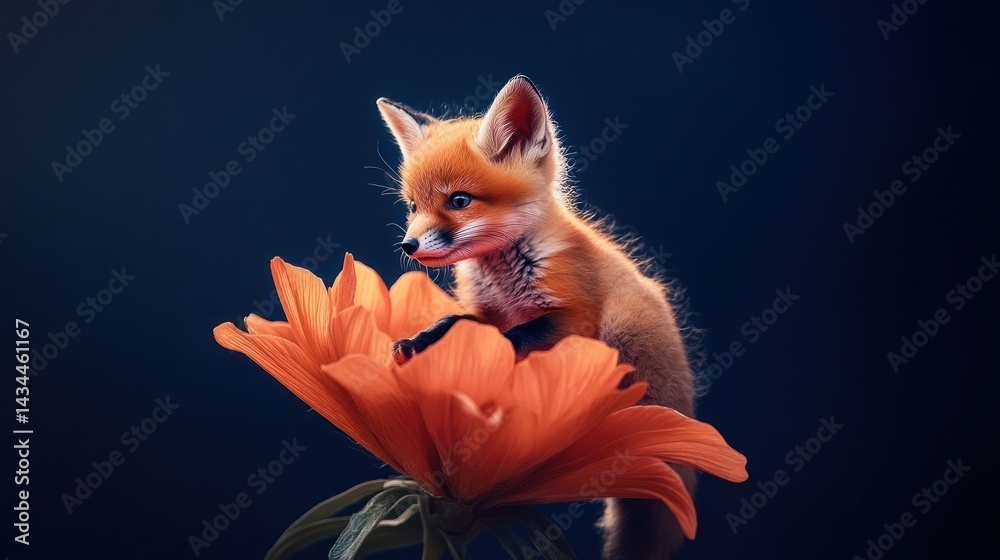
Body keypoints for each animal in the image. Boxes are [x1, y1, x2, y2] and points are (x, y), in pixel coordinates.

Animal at [376, 75, 697, 560]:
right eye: (413, 205)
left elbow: (515, 338)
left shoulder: (573, 317)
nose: (407, 246)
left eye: (459, 200)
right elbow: (458, 325)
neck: (505, 277)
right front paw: (420, 342)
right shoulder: (487, 313)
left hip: (623, 337)